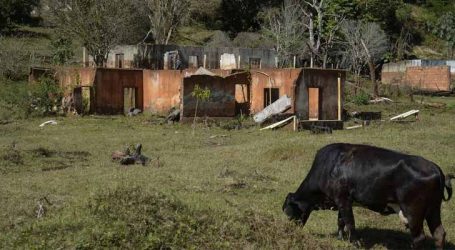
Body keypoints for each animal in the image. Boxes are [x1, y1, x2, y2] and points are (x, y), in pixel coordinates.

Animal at [284, 144, 454, 249]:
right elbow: (340, 221)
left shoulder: (343, 199)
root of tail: (436, 169)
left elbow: (350, 223)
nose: (291, 231)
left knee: (419, 238)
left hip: (413, 211)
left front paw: (354, 243)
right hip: (433, 209)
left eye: (288, 212)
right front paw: (340, 238)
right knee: (439, 234)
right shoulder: (342, 201)